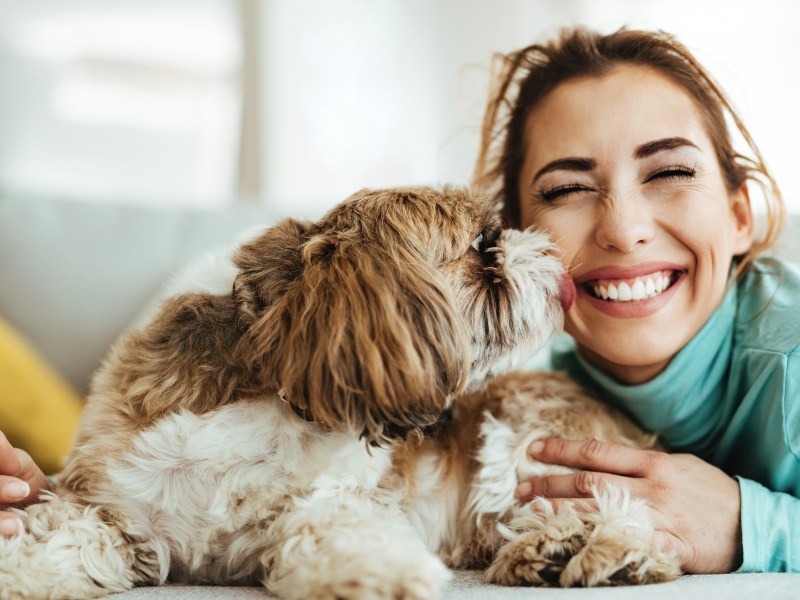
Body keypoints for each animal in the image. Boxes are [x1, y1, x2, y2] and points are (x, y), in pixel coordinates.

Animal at [0, 185, 680, 596]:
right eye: (483, 244)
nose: (553, 261)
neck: (274, 397)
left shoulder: (333, 499)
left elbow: (334, 531)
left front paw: (386, 576)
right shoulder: (107, 501)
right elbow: (55, 538)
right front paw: (20, 572)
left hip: (523, 437)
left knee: (623, 510)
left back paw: (597, 551)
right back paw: (546, 554)